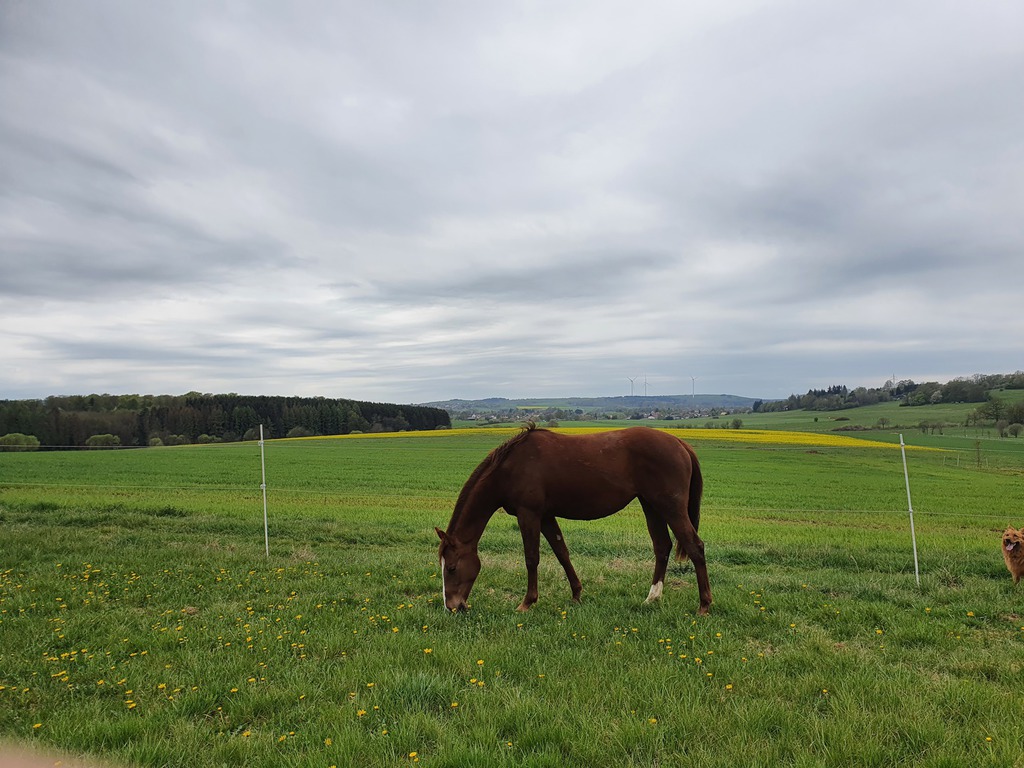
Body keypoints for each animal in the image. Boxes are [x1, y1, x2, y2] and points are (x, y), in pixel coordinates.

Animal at [435, 423, 711, 615]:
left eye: (451, 568)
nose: (452, 606)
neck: (510, 468)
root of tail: (680, 443)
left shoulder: (529, 515)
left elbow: (531, 558)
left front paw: (527, 603)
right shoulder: (546, 516)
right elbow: (562, 553)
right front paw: (577, 594)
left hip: (670, 507)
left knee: (695, 546)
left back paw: (704, 605)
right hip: (651, 505)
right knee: (662, 546)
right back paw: (652, 597)